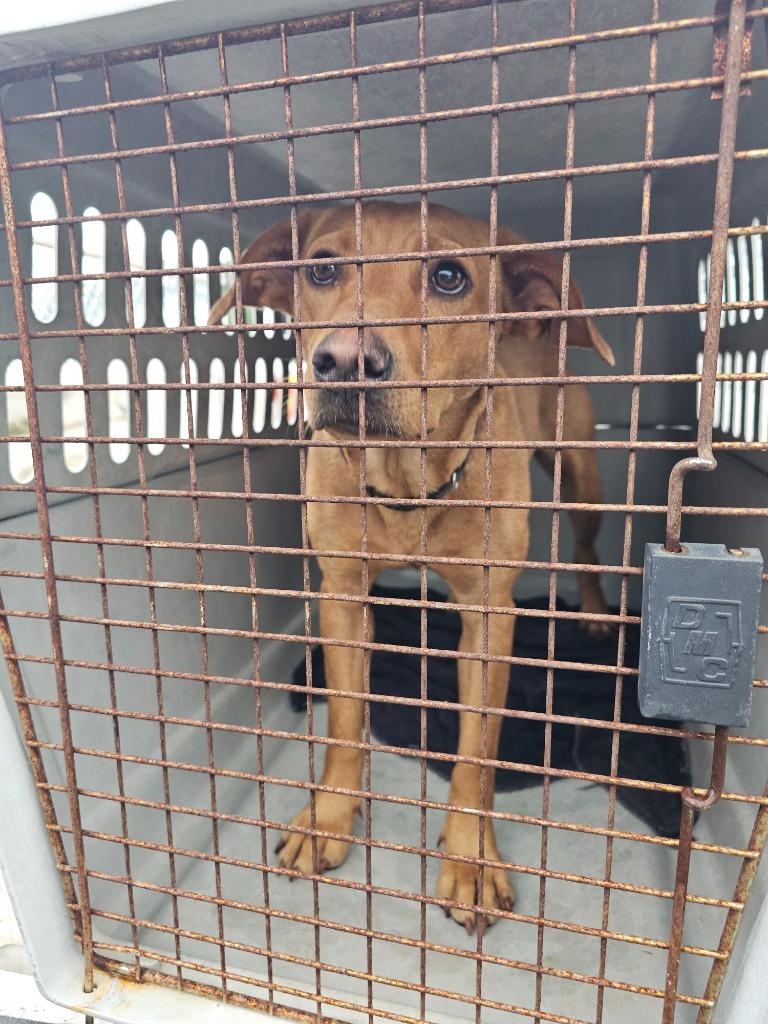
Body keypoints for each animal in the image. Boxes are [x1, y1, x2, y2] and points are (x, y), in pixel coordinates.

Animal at [208, 199, 614, 929]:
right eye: (322, 268)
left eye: (449, 277)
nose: (343, 360)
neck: (406, 482)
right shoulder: (341, 596)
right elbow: (344, 722)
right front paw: (329, 819)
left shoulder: (490, 617)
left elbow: (476, 751)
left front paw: (471, 858)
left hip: (582, 474)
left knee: (588, 548)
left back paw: (595, 612)